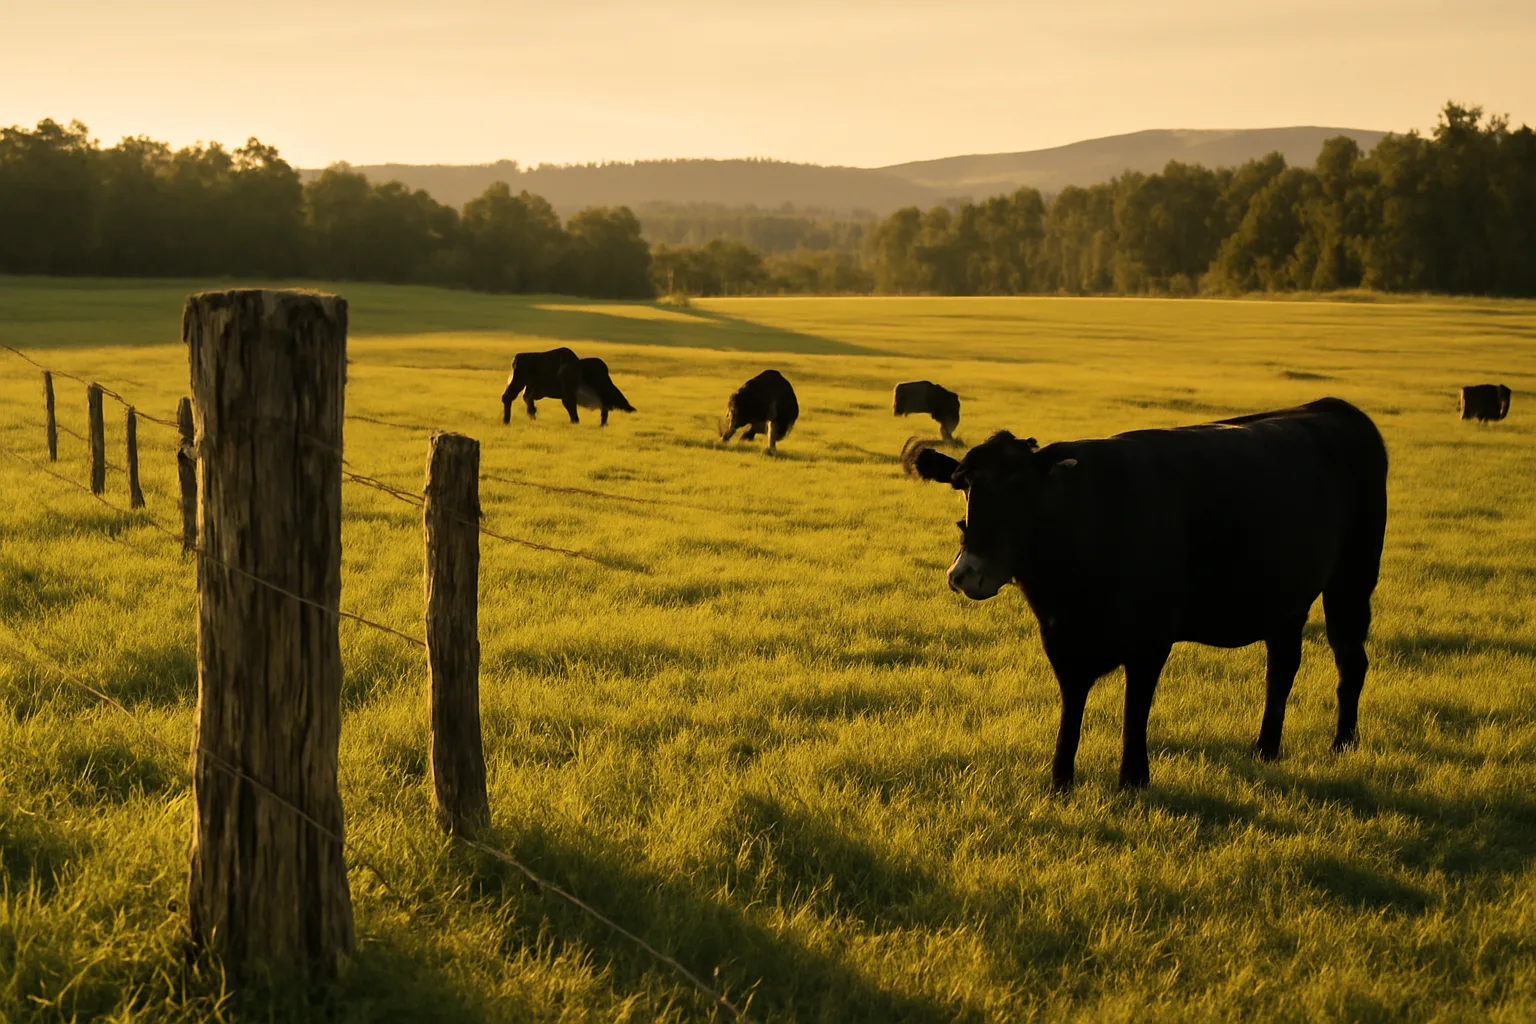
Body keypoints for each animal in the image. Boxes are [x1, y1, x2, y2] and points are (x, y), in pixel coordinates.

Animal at [501, 348, 635, 426]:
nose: (630, 408)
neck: (583, 372)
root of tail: (515, 359)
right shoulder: (568, 395)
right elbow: (573, 412)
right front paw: (575, 422)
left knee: (523, 399)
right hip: (518, 382)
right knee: (508, 397)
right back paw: (506, 421)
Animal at [902, 397, 1388, 791]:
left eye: (1022, 488)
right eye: (963, 487)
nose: (967, 573)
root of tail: (1333, 408)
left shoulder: (1150, 640)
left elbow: (1135, 709)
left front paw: (1134, 779)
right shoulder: (1062, 639)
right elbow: (1071, 711)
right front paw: (1060, 781)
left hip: (1352, 580)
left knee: (1350, 660)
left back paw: (1342, 744)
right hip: (1285, 601)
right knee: (1282, 667)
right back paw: (1266, 748)